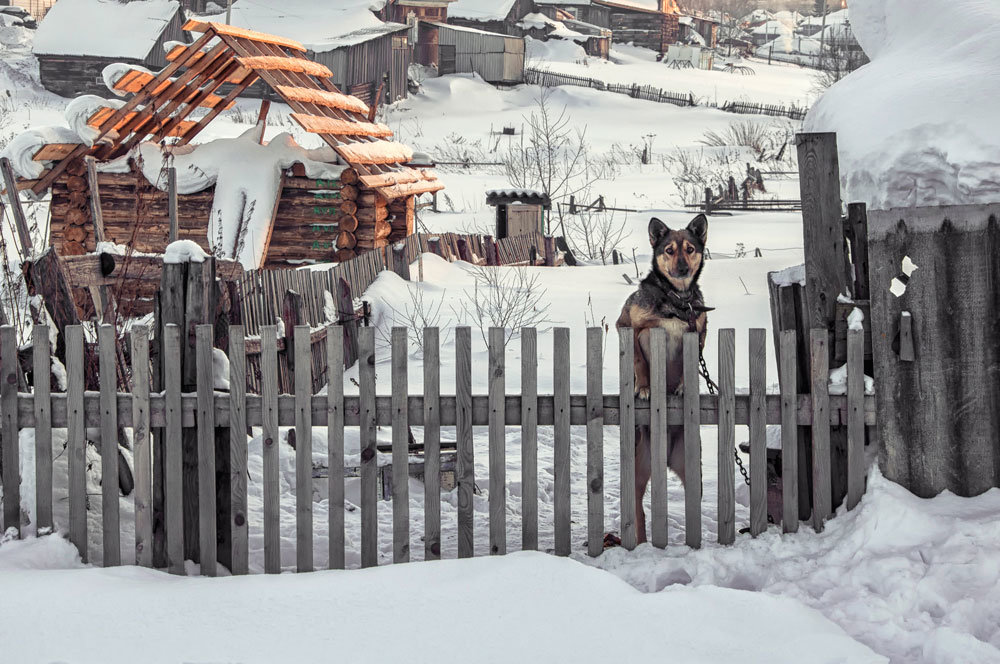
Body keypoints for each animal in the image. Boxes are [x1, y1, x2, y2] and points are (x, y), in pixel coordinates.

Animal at [612, 215, 708, 544]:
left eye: (690, 249)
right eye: (669, 250)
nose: (682, 269)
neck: (677, 298)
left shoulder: (698, 331)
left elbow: (690, 362)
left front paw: (683, 386)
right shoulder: (627, 325)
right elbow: (640, 360)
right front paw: (642, 387)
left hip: (691, 470)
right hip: (637, 471)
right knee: (638, 511)